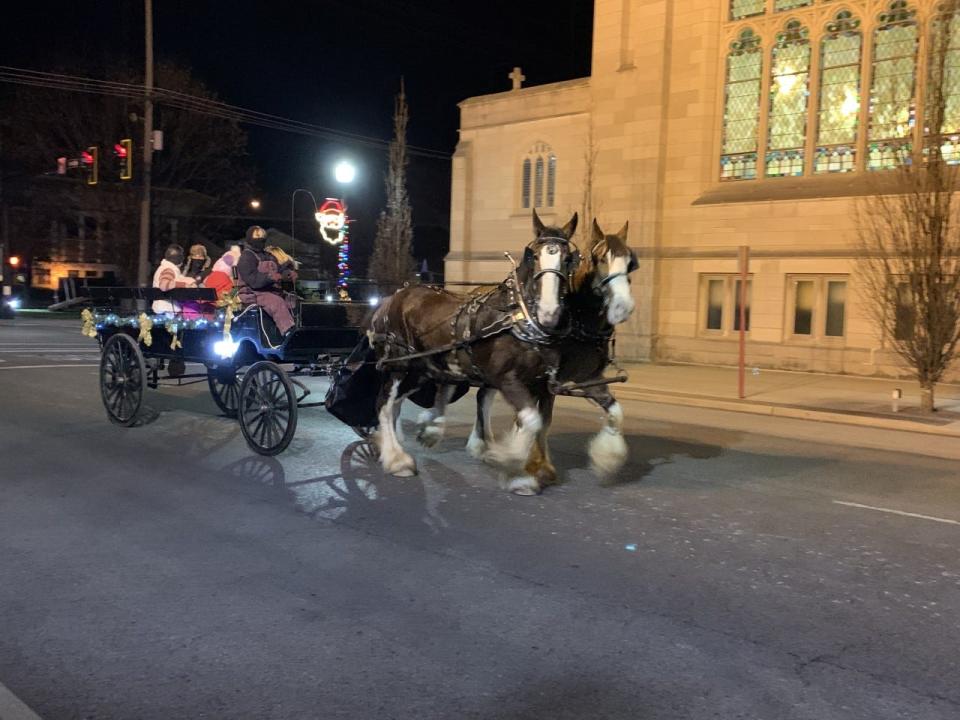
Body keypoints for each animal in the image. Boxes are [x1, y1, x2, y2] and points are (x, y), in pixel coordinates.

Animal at [368, 208, 576, 490]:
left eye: (569, 258)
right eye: (533, 255)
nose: (549, 312)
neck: (517, 317)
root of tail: (391, 299)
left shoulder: (544, 384)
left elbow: (541, 422)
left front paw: (538, 467)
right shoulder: (507, 379)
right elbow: (531, 420)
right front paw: (507, 459)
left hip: (421, 370)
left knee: (397, 404)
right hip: (398, 365)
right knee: (385, 403)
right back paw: (397, 459)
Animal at [464, 217, 636, 492]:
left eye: (631, 262)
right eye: (599, 258)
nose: (622, 307)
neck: (578, 319)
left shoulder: (588, 378)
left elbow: (614, 413)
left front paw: (607, 460)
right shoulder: (544, 381)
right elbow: (540, 420)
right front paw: (535, 466)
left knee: (483, 395)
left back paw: (481, 442)